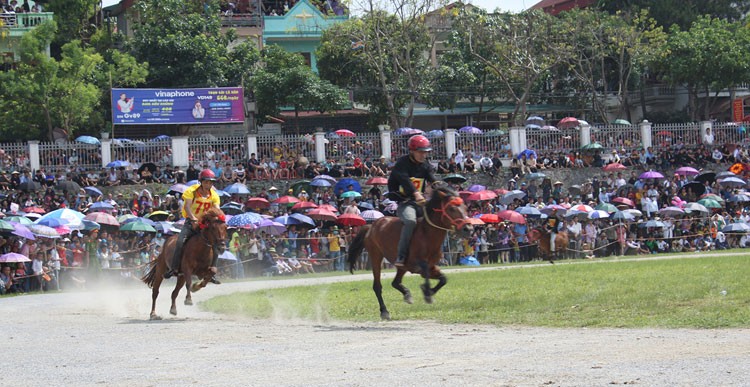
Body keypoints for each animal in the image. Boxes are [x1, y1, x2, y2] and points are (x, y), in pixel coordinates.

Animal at [348, 183, 476, 320]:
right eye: (452, 208)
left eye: (465, 208)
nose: (468, 229)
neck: (426, 234)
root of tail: (371, 226)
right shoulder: (415, 264)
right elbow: (425, 270)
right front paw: (427, 292)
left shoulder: (430, 267)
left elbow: (443, 279)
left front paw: (428, 291)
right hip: (375, 256)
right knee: (377, 286)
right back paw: (384, 311)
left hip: (401, 267)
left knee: (395, 282)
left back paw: (407, 294)